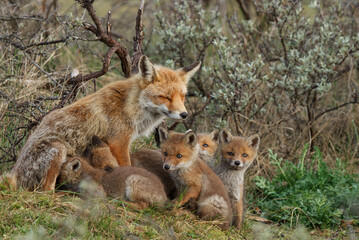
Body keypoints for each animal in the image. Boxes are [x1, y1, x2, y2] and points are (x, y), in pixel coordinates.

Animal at [9, 56, 201, 191]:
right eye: (165, 97)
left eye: (182, 96)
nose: (184, 114)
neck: (130, 105)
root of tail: (14, 174)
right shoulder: (119, 143)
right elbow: (126, 166)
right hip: (58, 148)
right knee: (44, 190)